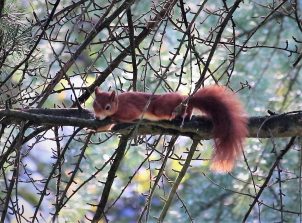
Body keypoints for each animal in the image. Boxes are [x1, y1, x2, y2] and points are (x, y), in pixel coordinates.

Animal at [92, 85, 248, 172]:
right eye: (94, 104)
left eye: (107, 107)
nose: (97, 117)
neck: (118, 103)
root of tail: (184, 98)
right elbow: (105, 125)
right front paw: (94, 128)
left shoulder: (129, 109)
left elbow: (125, 117)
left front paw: (114, 120)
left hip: (162, 108)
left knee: (183, 106)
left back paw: (183, 113)